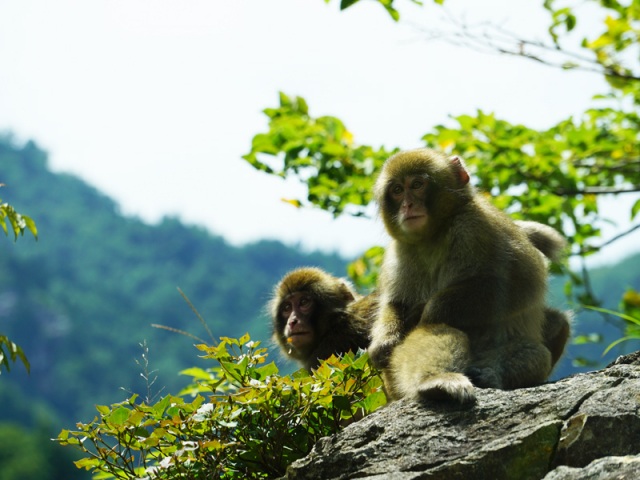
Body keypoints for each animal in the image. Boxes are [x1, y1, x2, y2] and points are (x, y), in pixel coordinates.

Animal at [368, 148, 564, 404]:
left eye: (417, 184)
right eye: (398, 190)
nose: (408, 205)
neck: (434, 234)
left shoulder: (475, 225)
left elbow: (524, 282)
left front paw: (427, 310)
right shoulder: (399, 251)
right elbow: (395, 303)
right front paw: (384, 342)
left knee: (537, 354)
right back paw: (434, 381)